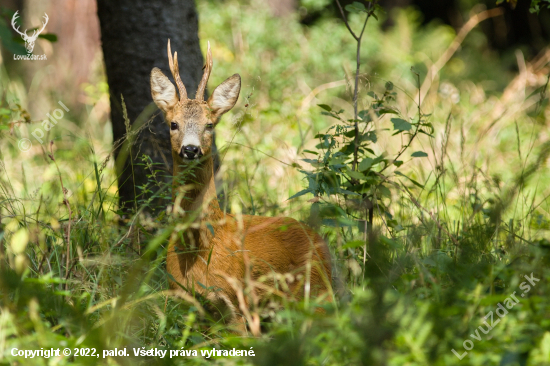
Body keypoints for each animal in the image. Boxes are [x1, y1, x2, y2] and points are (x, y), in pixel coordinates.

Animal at [150, 40, 332, 334]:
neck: (198, 250)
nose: (191, 149)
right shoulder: (175, 296)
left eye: (209, 124)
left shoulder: (236, 302)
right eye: (173, 123)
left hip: (316, 291)